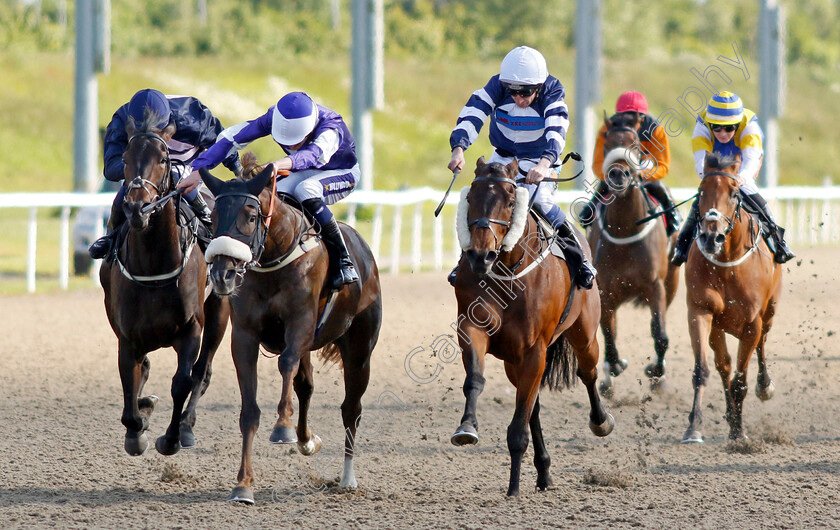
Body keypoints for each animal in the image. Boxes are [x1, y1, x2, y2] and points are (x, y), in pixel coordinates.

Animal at [102, 118, 233, 454]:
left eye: (163, 159)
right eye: (125, 159)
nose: (137, 207)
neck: (153, 266)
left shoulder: (191, 329)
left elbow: (183, 382)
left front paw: (171, 437)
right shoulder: (127, 335)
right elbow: (131, 384)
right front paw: (138, 428)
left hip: (219, 310)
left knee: (203, 372)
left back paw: (186, 427)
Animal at [199, 154, 382, 504]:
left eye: (251, 215)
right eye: (212, 217)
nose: (222, 274)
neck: (275, 257)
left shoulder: (300, 324)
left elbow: (285, 364)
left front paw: (282, 427)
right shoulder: (245, 335)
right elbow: (249, 411)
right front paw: (243, 485)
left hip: (360, 350)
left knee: (351, 407)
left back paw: (347, 478)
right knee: (305, 386)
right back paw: (307, 440)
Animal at [450, 157, 612, 496]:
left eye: (512, 201)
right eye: (471, 198)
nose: (481, 255)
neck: (507, 268)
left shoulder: (535, 349)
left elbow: (518, 425)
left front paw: (513, 488)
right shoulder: (472, 329)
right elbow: (475, 379)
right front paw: (467, 426)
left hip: (584, 333)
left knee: (588, 372)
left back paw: (601, 421)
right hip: (514, 361)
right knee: (533, 405)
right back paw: (543, 472)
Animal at [588, 112, 680, 392]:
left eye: (636, 147)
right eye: (607, 146)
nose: (618, 175)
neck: (625, 229)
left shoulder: (655, 285)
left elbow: (660, 334)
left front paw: (656, 372)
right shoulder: (604, 289)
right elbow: (608, 332)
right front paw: (614, 366)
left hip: (672, 282)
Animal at [684, 153, 780, 442]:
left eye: (734, 192)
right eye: (701, 191)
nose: (710, 237)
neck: (727, 264)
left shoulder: (752, 323)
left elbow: (741, 381)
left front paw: (739, 432)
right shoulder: (700, 311)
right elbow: (703, 370)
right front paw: (694, 427)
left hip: (769, 312)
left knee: (761, 345)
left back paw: (764, 387)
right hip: (719, 327)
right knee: (724, 366)